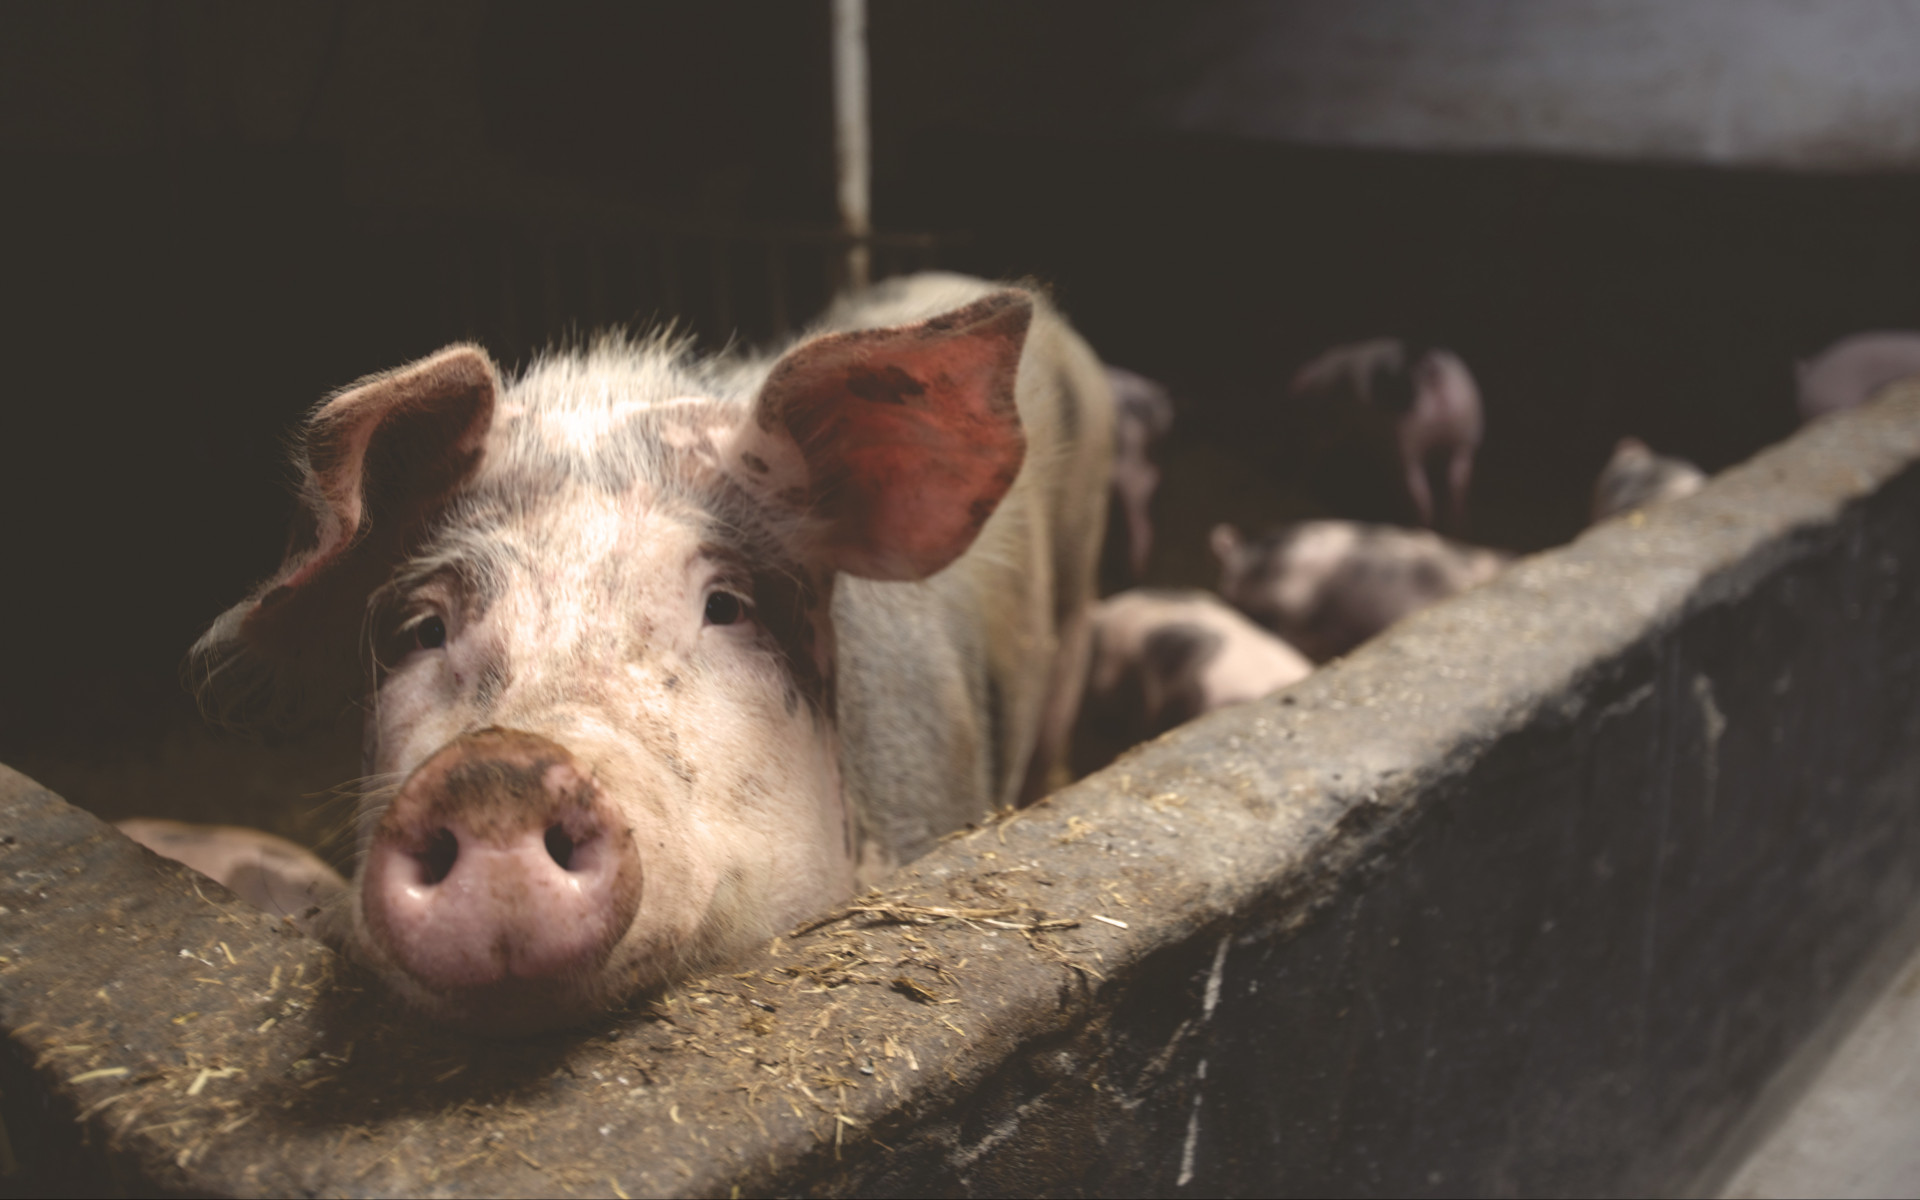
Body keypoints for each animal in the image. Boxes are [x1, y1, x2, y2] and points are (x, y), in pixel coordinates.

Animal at [1287, 339, 1483, 532]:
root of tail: (1429, 365)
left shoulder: (1322, 429)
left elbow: (1312, 458)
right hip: (1460, 435)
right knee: (1456, 480)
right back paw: (1455, 525)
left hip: (1404, 438)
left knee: (1417, 487)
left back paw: (1418, 524)